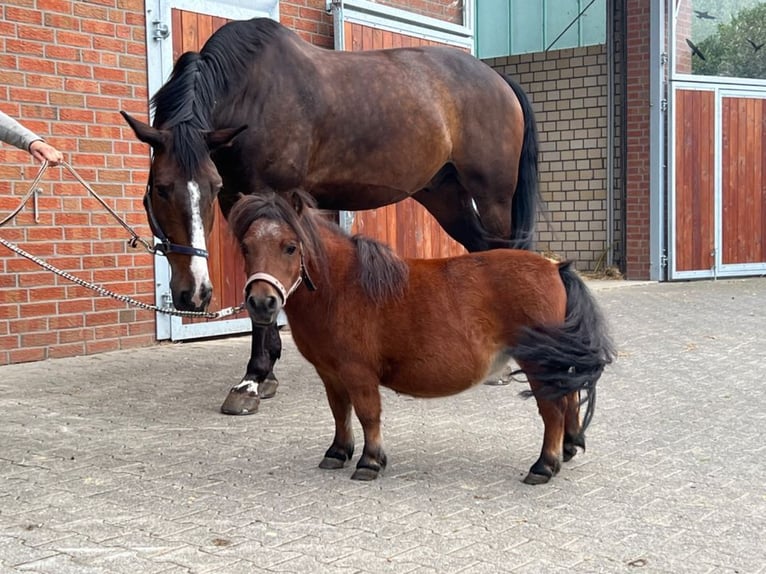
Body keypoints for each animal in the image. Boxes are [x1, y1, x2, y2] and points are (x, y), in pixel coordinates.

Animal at [120, 16, 540, 414]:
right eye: (160, 187)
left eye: (209, 186)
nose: (194, 294)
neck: (254, 93)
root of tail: (498, 79)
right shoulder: (238, 201)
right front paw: (264, 374)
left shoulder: (274, 195)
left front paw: (252, 380)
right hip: (444, 194)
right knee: (480, 246)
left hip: (492, 196)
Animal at [230, 194, 616, 486]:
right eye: (246, 247)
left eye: (290, 247)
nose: (262, 303)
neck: (342, 286)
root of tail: (555, 268)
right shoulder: (331, 374)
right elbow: (340, 412)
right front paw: (338, 452)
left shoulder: (358, 373)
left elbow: (368, 414)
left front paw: (370, 461)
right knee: (568, 400)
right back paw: (567, 448)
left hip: (538, 362)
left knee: (553, 409)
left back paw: (544, 465)